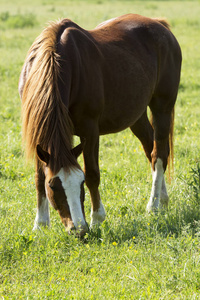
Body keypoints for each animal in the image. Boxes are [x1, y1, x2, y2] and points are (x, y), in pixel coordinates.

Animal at [18, 14, 181, 237]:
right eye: (53, 186)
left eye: (80, 183)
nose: (79, 230)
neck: (57, 61)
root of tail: (160, 24)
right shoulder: (38, 132)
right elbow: (38, 175)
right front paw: (40, 224)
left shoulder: (90, 129)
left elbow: (93, 173)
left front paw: (97, 219)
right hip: (136, 116)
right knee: (151, 149)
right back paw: (163, 200)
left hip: (162, 106)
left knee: (159, 154)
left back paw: (153, 205)